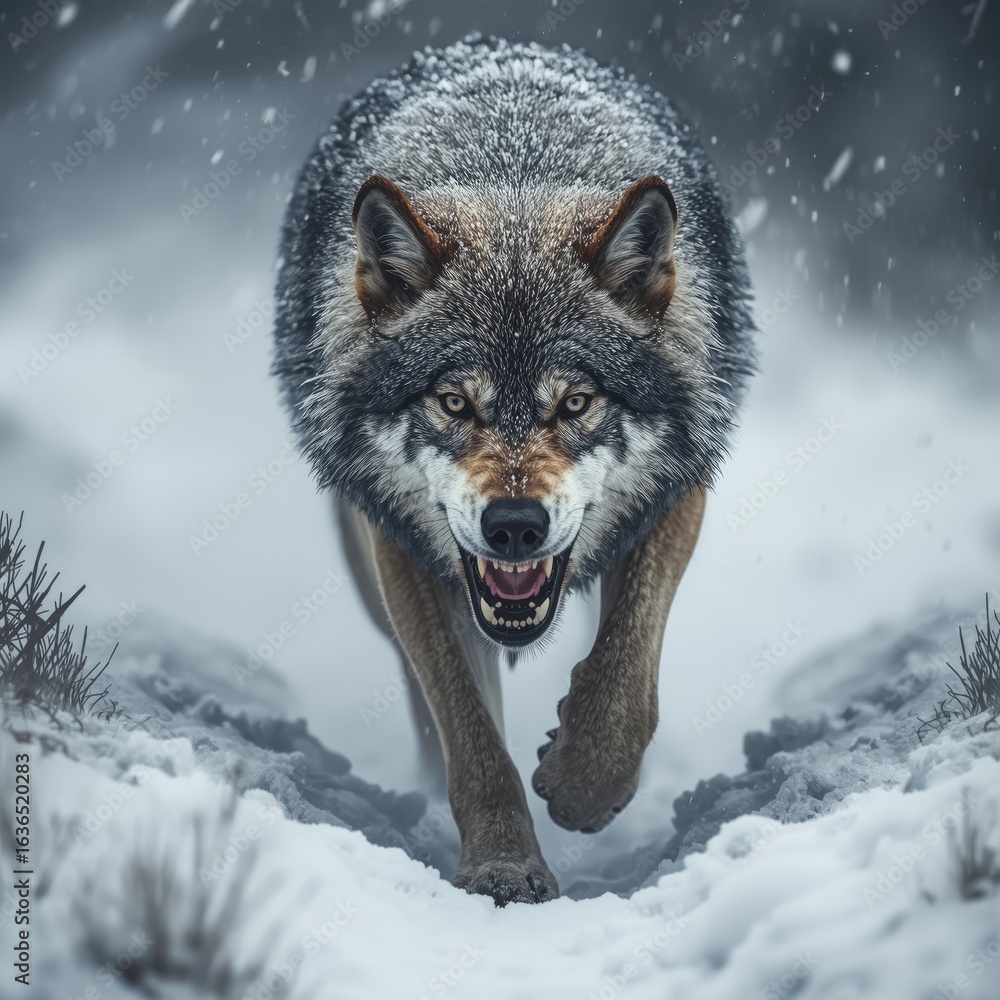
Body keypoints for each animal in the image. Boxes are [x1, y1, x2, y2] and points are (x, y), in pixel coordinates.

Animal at [273, 37, 755, 906]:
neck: (515, 178)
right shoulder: (401, 550)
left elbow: (626, 677)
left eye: (576, 402)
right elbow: (470, 734)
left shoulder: (679, 493)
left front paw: (581, 788)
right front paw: (503, 867)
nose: (515, 526)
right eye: (454, 402)